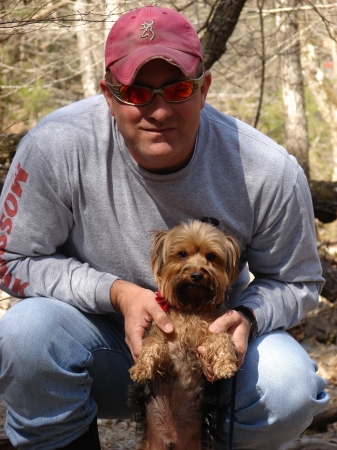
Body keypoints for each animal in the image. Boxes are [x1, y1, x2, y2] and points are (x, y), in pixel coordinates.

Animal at [128, 221, 239, 450]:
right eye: (182, 254)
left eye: (211, 256)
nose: (196, 275)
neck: (191, 309)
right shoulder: (163, 343)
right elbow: (152, 345)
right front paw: (141, 368)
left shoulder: (212, 329)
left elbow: (221, 338)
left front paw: (225, 365)